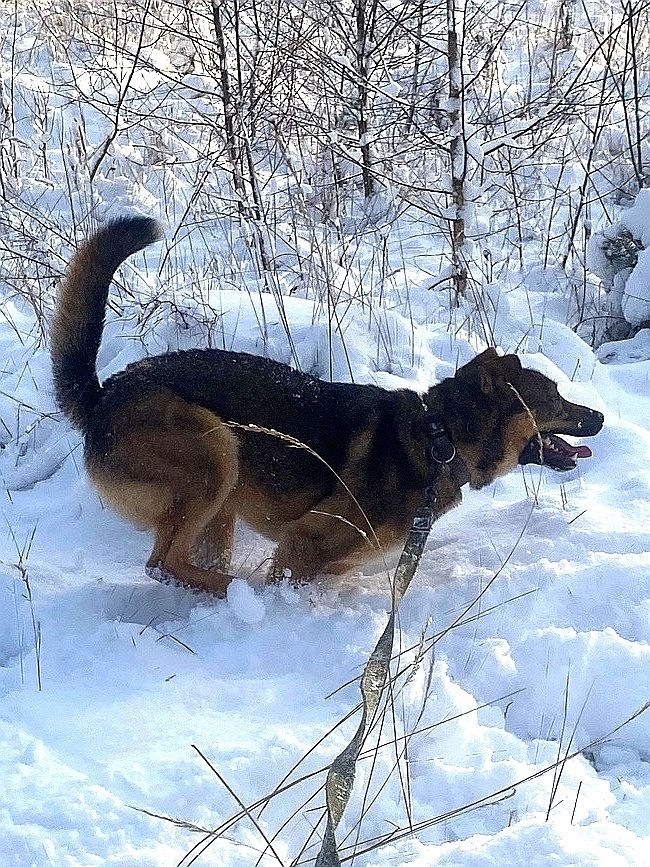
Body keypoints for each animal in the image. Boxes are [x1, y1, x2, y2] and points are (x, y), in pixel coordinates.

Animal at [51, 217, 604, 596]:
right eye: (554, 398)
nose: (600, 418)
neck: (437, 441)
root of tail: (103, 394)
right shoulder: (303, 545)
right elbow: (288, 579)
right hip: (216, 452)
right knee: (163, 563)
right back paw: (239, 595)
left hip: (222, 499)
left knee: (179, 561)